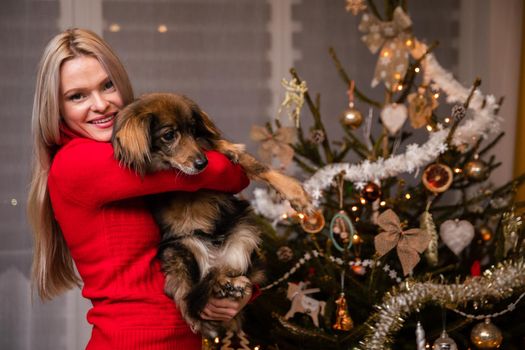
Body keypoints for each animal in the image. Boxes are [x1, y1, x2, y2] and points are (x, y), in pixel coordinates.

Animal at [110, 92, 308, 336]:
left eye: (194, 130)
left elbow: (255, 165)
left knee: (230, 271)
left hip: (245, 232)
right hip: (177, 250)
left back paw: (231, 284)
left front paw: (295, 193)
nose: (203, 163)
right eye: (169, 135)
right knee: (187, 296)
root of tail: (215, 259)